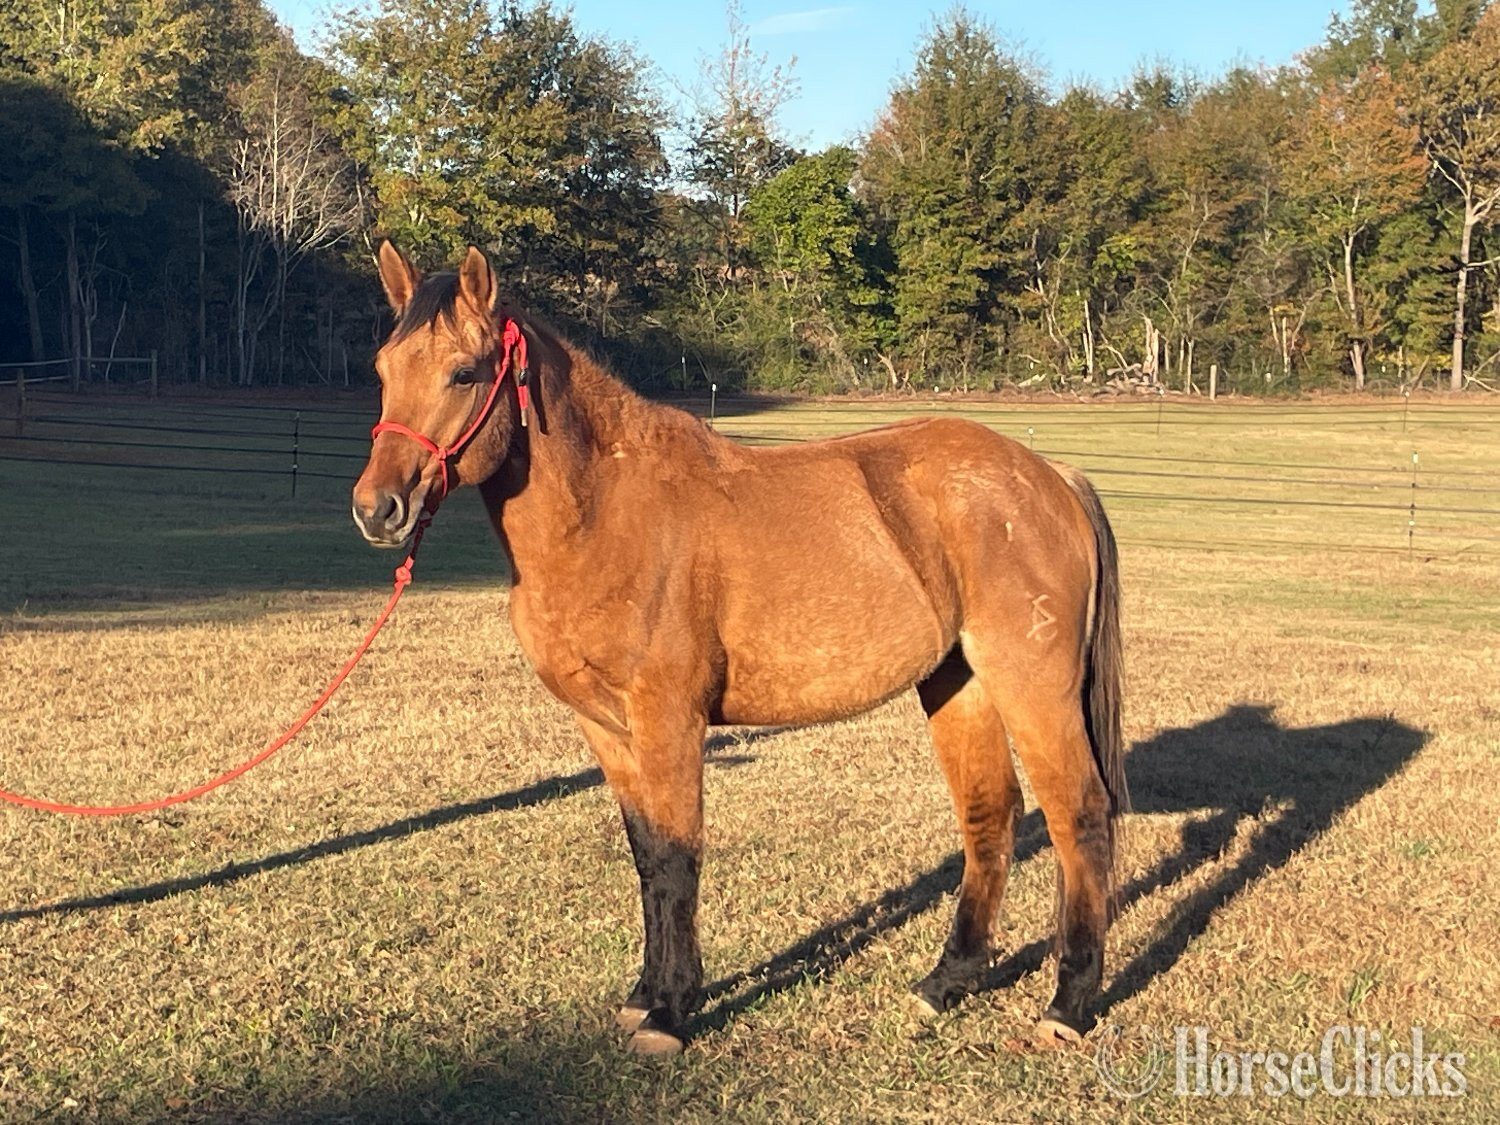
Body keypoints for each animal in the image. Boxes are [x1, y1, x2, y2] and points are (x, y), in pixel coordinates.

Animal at [352, 243, 1128, 1056]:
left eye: (464, 373)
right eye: (383, 367)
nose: (377, 509)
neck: (607, 512)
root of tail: (1049, 478)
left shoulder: (670, 720)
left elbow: (676, 857)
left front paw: (669, 1011)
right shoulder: (606, 727)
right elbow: (645, 855)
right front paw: (645, 994)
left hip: (1031, 685)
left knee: (1081, 815)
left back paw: (1068, 1006)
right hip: (959, 682)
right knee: (990, 815)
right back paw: (945, 983)